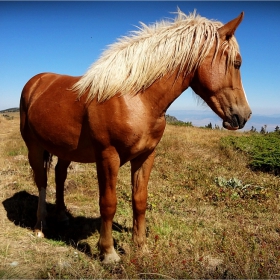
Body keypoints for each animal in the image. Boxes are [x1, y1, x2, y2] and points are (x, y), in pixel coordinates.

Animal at [19, 9, 252, 264]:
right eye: (237, 63)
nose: (244, 116)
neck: (136, 99)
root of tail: (36, 82)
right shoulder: (108, 157)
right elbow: (108, 203)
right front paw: (109, 253)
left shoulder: (146, 156)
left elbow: (139, 200)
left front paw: (141, 246)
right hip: (34, 148)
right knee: (42, 181)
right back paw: (40, 226)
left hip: (64, 150)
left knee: (59, 176)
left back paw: (62, 217)